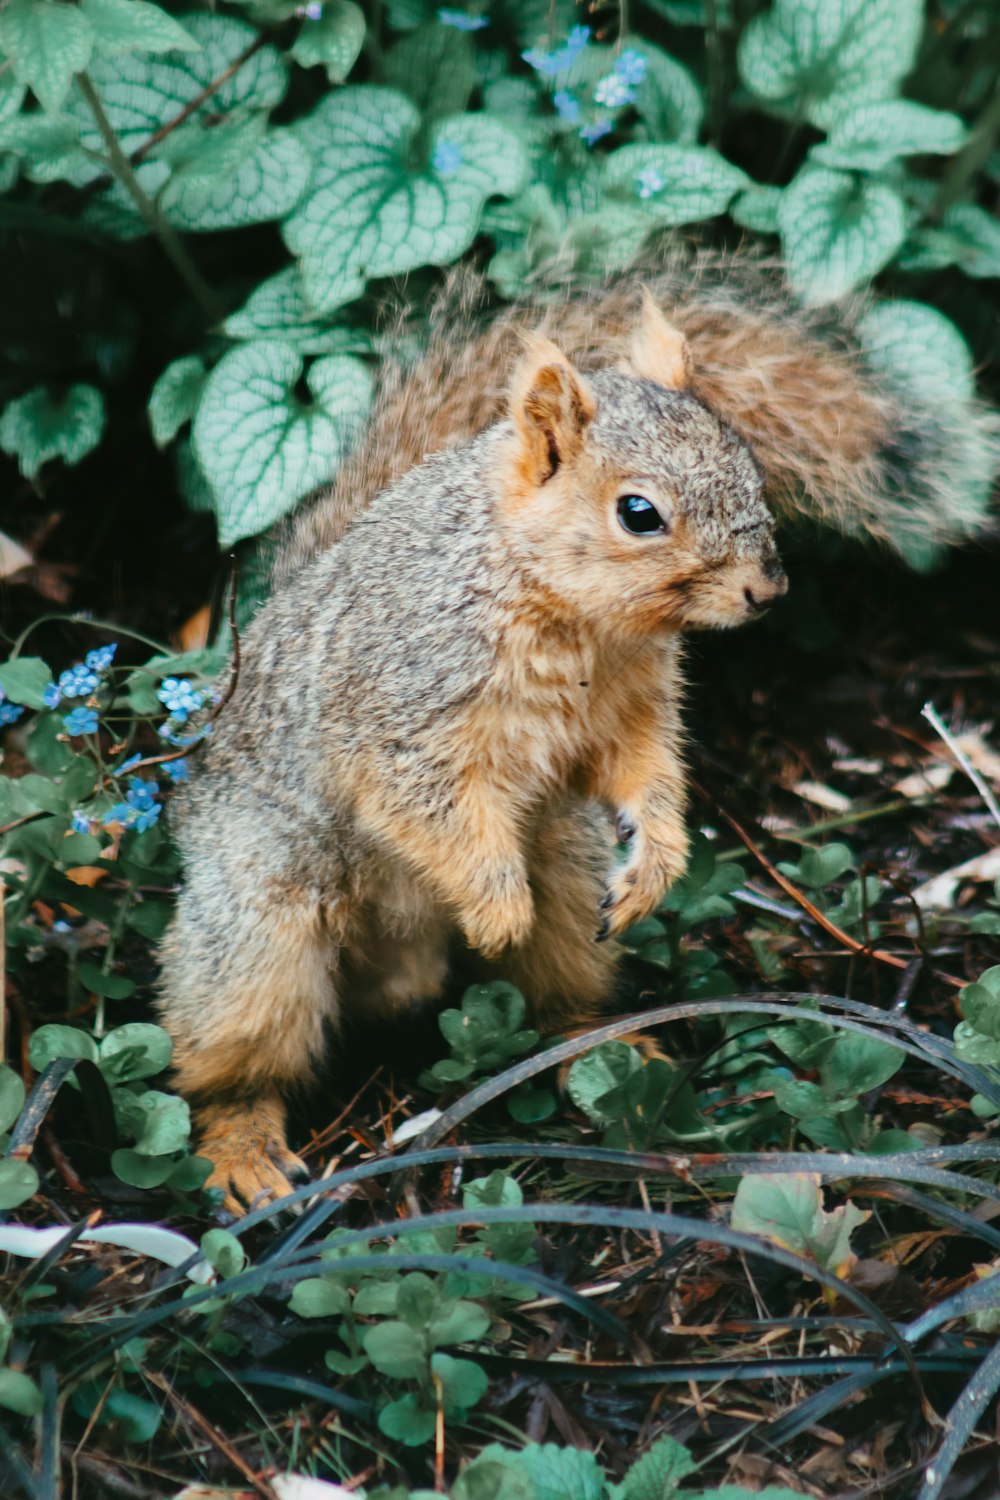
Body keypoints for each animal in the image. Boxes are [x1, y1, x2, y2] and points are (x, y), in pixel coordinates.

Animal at [160, 252, 995, 1212]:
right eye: (639, 513)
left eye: (748, 469)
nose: (765, 591)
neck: (568, 612)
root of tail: (400, 974)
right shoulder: (404, 716)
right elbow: (426, 803)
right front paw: (493, 907)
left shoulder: (633, 710)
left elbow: (646, 772)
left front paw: (660, 858)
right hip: (258, 933)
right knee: (228, 1061)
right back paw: (243, 1146)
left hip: (565, 869)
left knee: (558, 992)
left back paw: (607, 1045)